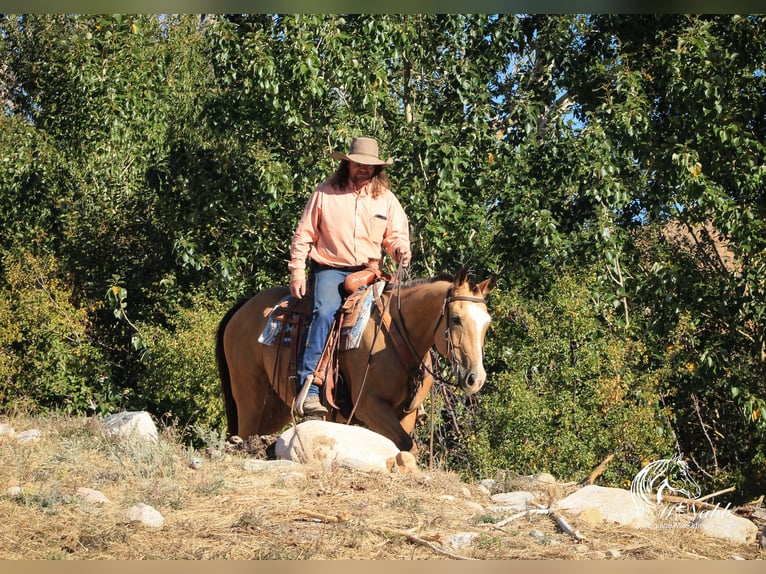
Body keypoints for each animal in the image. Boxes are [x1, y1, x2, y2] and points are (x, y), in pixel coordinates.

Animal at [214, 270, 498, 454]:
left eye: (487, 322)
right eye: (456, 319)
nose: (475, 378)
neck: (395, 332)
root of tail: (242, 308)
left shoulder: (407, 412)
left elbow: (406, 446)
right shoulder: (369, 406)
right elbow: (405, 445)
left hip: (274, 408)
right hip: (249, 397)